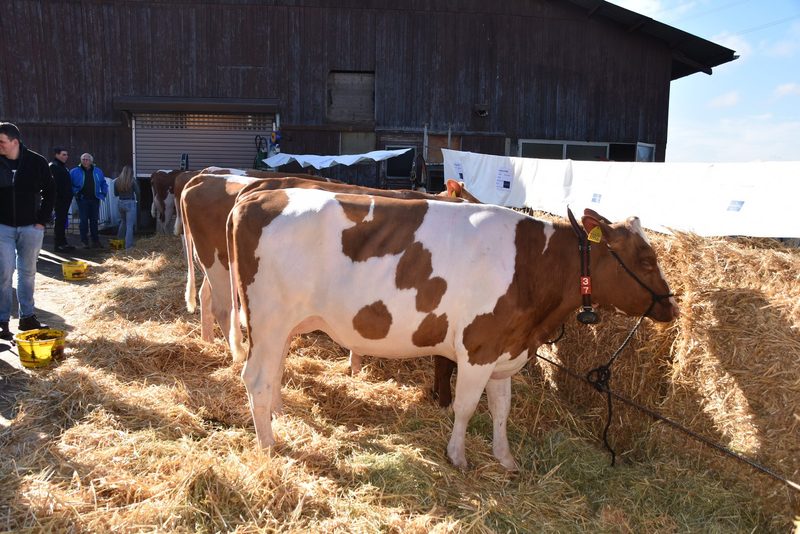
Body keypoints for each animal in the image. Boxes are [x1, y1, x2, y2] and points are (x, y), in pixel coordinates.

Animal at [226, 188, 679, 469]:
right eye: (644, 258)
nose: (672, 305)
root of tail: (259, 194)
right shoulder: (478, 348)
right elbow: (465, 407)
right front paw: (458, 456)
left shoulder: (504, 349)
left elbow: (501, 409)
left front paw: (505, 458)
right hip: (268, 318)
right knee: (255, 378)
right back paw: (268, 444)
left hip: (283, 325)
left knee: (274, 372)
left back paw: (280, 415)